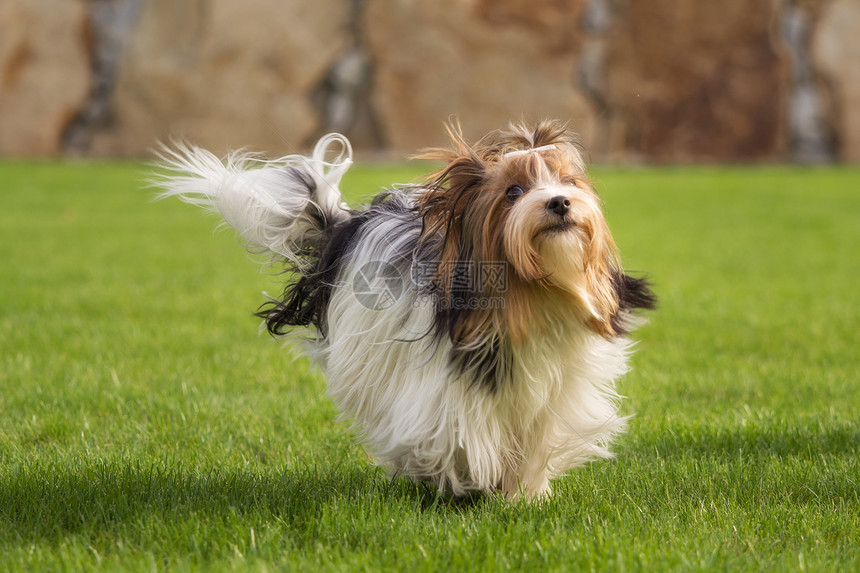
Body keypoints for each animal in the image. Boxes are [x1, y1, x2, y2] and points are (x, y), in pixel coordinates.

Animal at [155, 119, 656, 496]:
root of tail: (348, 228)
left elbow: (537, 439)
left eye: (568, 181)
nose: (559, 202)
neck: (531, 294)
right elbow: (460, 436)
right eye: (513, 192)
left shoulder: (555, 390)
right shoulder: (447, 390)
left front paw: (522, 493)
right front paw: (470, 479)